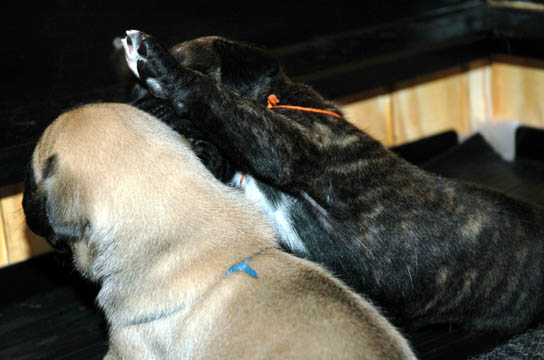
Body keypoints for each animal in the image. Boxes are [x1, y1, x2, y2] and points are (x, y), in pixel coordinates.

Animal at [121, 30, 544, 334]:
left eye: (151, 90)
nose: (131, 109)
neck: (278, 98)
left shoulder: (285, 146)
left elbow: (217, 99)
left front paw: (156, 61)